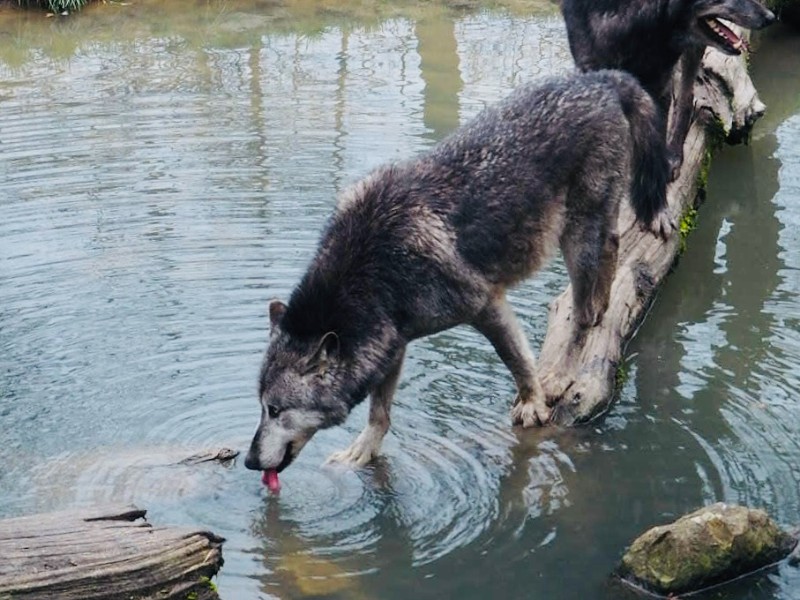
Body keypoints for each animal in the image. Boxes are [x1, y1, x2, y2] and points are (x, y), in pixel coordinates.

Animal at [247, 70, 672, 486]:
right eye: (261, 406)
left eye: (276, 409)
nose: (249, 461)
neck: (374, 272)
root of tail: (602, 79)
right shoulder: (394, 344)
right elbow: (379, 414)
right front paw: (361, 452)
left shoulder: (486, 305)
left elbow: (517, 361)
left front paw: (532, 403)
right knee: (613, 245)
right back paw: (603, 302)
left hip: (576, 236)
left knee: (582, 315)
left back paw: (564, 369)